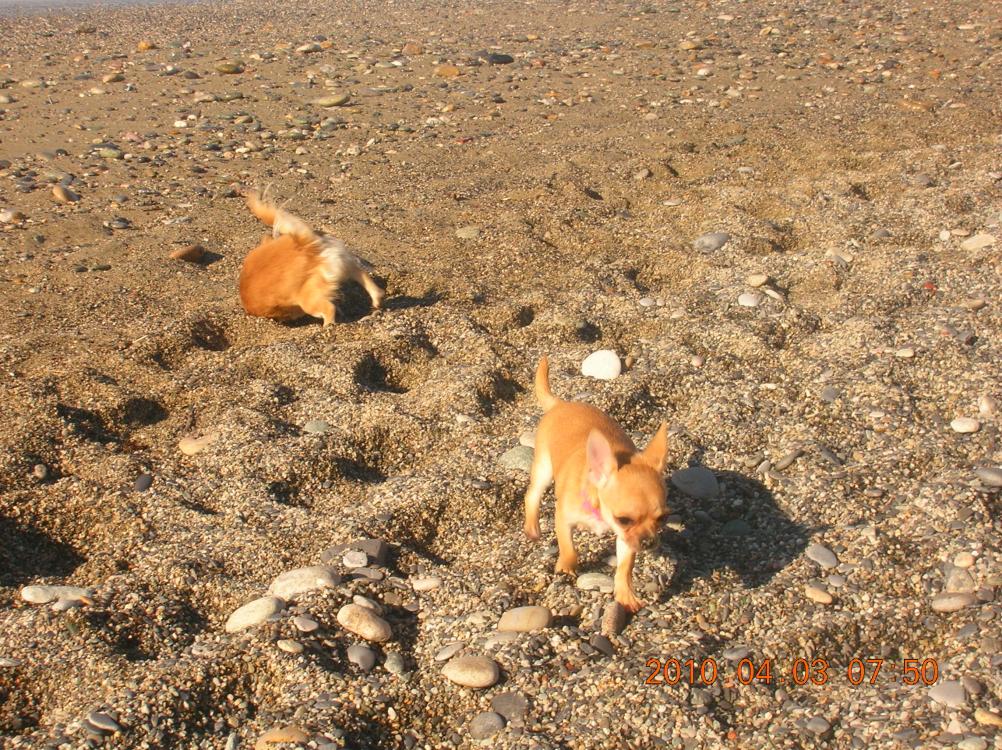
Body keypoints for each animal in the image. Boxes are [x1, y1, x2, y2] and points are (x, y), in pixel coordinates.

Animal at [239, 191, 384, 326]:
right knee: (361, 274)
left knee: (329, 309)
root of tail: (306, 246)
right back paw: (376, 300)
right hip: (344, 264)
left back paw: (328, 326)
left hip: (309, 301)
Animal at [523, 356, 668, 612]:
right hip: (543, 469)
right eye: (624, 519)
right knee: (532, 495)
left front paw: (626, 595)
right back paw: (532, 527)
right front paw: (565, 569)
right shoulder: (564, 519)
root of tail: (560, 404)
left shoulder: (627, 539)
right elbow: (569, 550)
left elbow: (625, 568)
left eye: (663, 518)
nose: (650, 541)